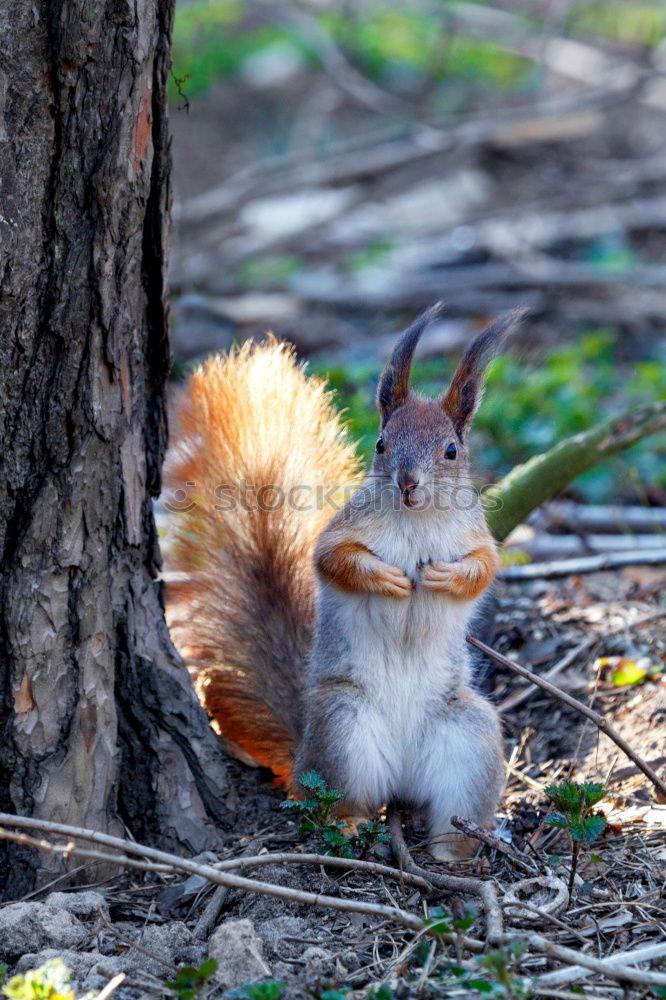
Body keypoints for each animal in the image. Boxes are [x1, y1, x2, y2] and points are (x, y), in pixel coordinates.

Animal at [165, 304, 520, 860]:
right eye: (381, 443)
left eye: (451, 450)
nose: (408, 483)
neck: (416, 519)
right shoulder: (342, 531)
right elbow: (335, 560)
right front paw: (389, 579)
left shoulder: (478, 537)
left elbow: (482, 569)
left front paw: (442, 575)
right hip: (341, 728)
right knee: (336, 801)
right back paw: (351, 825)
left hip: (469, 736)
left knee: (452, 806)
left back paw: (455, 849)